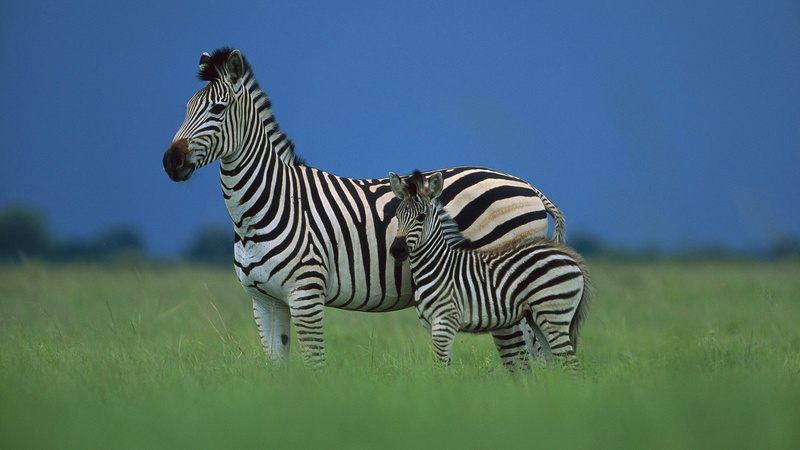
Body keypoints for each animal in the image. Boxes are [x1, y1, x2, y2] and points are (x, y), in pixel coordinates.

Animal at [161, 47, 566, 370]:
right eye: (186, 109)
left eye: (218, 109)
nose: (170, 162)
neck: (265, 205)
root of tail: (528, 187)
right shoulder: (264, 301)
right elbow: (277, 371)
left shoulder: (306, 294)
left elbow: (314, 367)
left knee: (522, 360)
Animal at [388, 170, 589, 371]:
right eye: (397, 215)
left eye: (421, 217)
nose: (397, 250)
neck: (437, 265)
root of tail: (571, 258)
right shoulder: (429, 324)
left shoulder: (445, 320)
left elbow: (440, 368)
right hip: (538, 317)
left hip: (553, 313)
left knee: (570, 363)